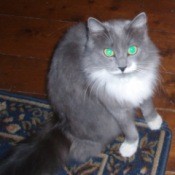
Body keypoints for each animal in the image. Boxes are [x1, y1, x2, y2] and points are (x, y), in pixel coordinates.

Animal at [0, 11, 163, 174]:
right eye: (108, 52)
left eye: (132, 50)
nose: (122, 67)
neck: (125, 81)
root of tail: (61, 123)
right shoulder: (114, 107)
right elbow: (129, 128)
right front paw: (130, 146)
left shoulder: (145, 87)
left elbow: (147, 105)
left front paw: (154, 121)